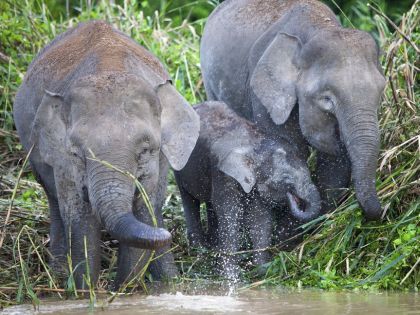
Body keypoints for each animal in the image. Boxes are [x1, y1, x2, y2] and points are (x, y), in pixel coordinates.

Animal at [13, 21, 201, 290]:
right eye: (77, 153)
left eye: (146, 151)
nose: (170, 235)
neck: (109, 67)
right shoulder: (61, 158)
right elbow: (78, 214)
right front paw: (86, 292)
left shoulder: (160, 159)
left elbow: (145, 207)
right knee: (54, 199)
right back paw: (59, 276)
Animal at [174, 102, 322, 280]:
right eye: (286, 179)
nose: (294, 199)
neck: (256, 145)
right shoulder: (224, 175)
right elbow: (231, 216)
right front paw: (231, 277)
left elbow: (260, 218)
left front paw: (262, 271)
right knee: (189, 200)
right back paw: (199, 252)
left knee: (210, 204)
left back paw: (211, 248)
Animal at [202, 0, 386, 222]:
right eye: (326, 99)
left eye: (381, 91)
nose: (381, 210)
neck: (319, 27)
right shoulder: (264, 97)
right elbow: (291, 151)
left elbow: (334, 165)